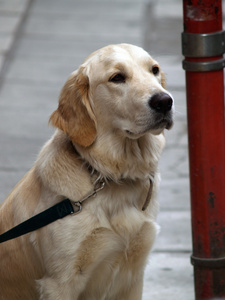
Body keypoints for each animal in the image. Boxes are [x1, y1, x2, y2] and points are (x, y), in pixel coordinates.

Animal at [0, 43, 174, 298]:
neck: (113, 176)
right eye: (117, 77)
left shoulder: (133, 277)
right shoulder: (59, 282)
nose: (164, 101)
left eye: (154, 70)